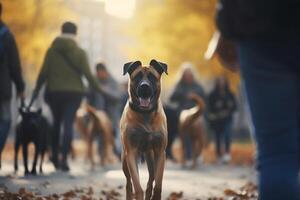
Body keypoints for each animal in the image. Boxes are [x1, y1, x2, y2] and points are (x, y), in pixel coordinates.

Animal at [122, 59, 169, 200]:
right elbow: (137, 186)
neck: (145, 114)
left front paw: (155, 195)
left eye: (152, 77)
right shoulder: (131, 152)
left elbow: (158, 185)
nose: (144, 87)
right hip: (124, 161)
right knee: (128, 182)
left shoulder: (160, 152)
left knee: (151, 179)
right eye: (137, 77)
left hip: (151, 158)